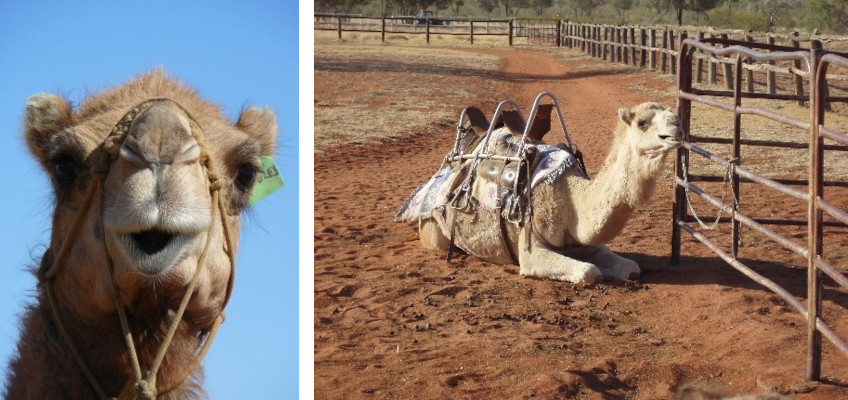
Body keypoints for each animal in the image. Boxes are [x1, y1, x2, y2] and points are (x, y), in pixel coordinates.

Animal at [407, 101, 682, 283]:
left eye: (672, 114)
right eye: (642, 122)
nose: (677, 127)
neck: (572, 202)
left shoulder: (592, 246)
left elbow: (630, 267)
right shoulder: (531, 249)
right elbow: (589, 272)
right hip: (432, 231)